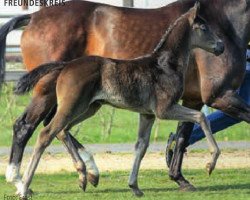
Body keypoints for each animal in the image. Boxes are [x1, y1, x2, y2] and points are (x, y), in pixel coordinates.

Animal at [14, 3, 223, 198]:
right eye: (204, 27)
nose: (220, 46)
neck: (165, 65)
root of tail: (66, 65)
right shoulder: (165, 109)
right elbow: (200, 117)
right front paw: (210, 164)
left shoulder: (147, 114)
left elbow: (141, 146)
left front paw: (135, 186)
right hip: (71, 107)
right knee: (46, 134)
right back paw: (24, 187)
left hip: (89, 108)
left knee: (62, 130)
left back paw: (84, 176)